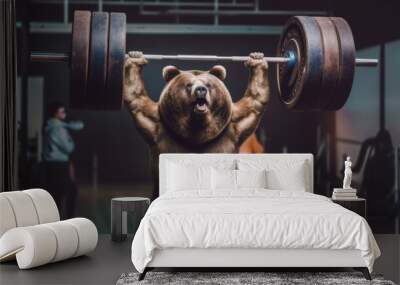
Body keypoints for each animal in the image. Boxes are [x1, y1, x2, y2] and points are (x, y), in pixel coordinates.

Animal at [123, 50, 270, 197]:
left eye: (208, 84)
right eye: (188, 85)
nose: (201, 89)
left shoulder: (233, 125)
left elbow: (255, 101)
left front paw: (256, 59)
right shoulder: (157, 124)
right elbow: (135, 99)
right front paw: (135, 57)